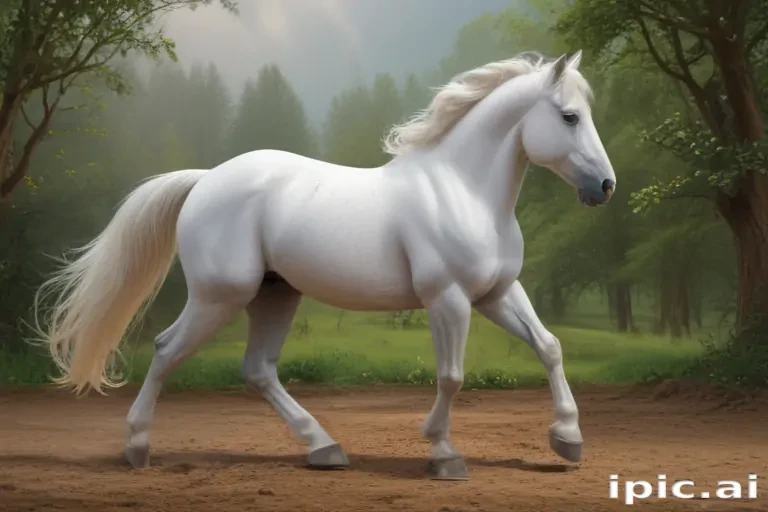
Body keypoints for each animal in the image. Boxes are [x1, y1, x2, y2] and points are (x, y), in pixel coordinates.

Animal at [33, 50, 616, 481]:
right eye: (569, 116)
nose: (605, 187)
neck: (463, 191)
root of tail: (205, 180)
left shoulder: (497, 293)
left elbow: (549, 347)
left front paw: (567, 441)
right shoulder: (446, 298)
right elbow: (452, 376)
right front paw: (444, 454)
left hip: (275, 294)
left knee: (258, 369)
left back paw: (325, 448)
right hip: (220, 295)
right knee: (165, 349)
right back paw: (137, 447)